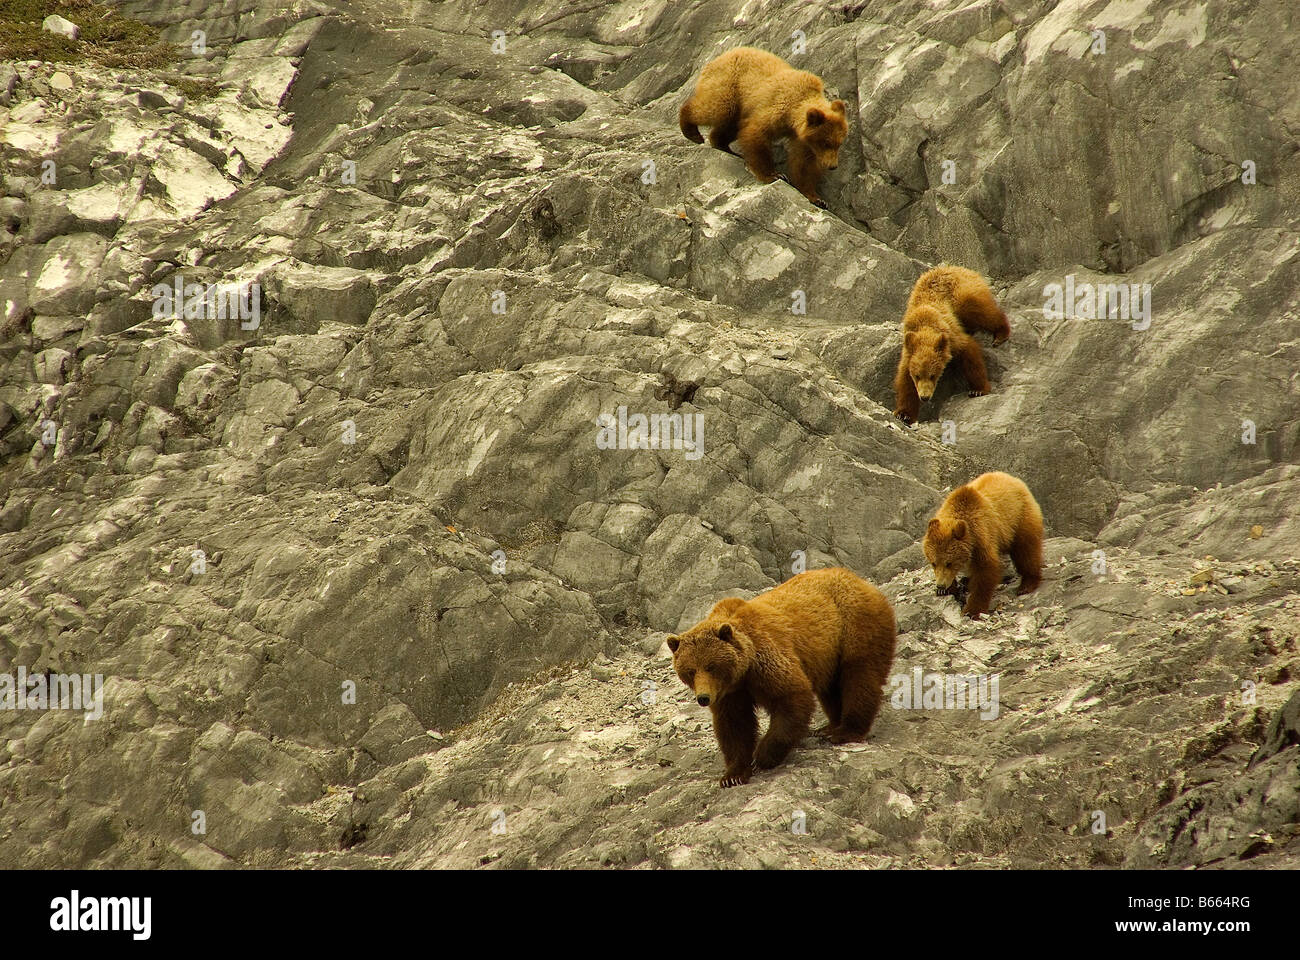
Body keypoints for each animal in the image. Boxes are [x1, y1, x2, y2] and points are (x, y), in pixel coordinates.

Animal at [670, 564, 894, 780]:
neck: (742, 672)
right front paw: (733, 774)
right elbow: (734, 724)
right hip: (828, 654)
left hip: (854, 625)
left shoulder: (766, 660)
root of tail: (858, 579)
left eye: (711, 666)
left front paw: (763, 755)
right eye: (690, 671)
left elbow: (792, 697)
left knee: (859, 676)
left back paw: (845, 731)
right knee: (831, 688)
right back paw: (829, 727)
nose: (703, 698)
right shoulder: (729, 692)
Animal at [681, 45, 852, 206]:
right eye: (826, 143)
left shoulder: (802, 138)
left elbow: (803, 164)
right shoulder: (776, 109)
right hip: (729, 85)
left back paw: (724, 146)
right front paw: (774, 174)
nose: (833, 166)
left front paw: (816, 198)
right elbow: (756, 135)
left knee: (729, 125)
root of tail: (722, 55)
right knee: (715, 109)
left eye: (839, 144)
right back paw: (692, 131)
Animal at [894, 265, 1013, 421]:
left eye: (933, 375)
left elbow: (970, 354)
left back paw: (1000, 334)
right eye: (917, 375)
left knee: (981, 311)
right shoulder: (909, 350)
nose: (925, 397)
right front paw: (904, 414)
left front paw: (978, 389)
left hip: (962, 294)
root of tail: (958, 267)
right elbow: (905, 381)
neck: (925, 324)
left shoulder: (951, 336)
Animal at [925, 473, 1045, 621]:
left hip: (1019, 518)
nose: (940, 584)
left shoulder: (982, 537)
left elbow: (985, 572)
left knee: (1026, 549)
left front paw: (972, 610)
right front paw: (946, 589)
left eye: (949, 563)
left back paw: (1027, 584)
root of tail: (1013, 478)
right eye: (933, 563)